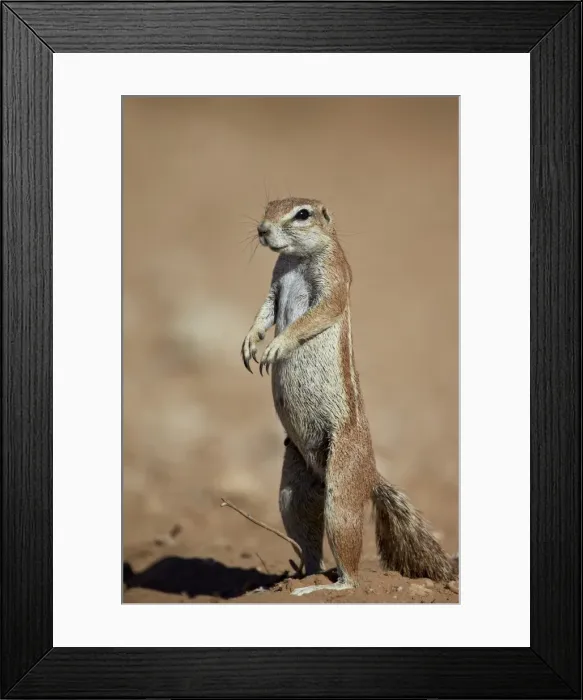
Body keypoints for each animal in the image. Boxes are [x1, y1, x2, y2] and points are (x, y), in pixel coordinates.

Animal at [241, 198, 456, 596]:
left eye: (302, 214)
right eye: (268, 206)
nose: (262, 229)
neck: (296, 260)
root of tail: (371, 474)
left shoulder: (334, 281)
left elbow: (313, 316)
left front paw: (276, 346)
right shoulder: (274, 286)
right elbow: (263, 312)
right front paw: (250, 341)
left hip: (341, 488)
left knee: (350, 569)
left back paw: (327, 587)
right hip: (292, 491)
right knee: (308, 538)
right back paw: (296, 578)